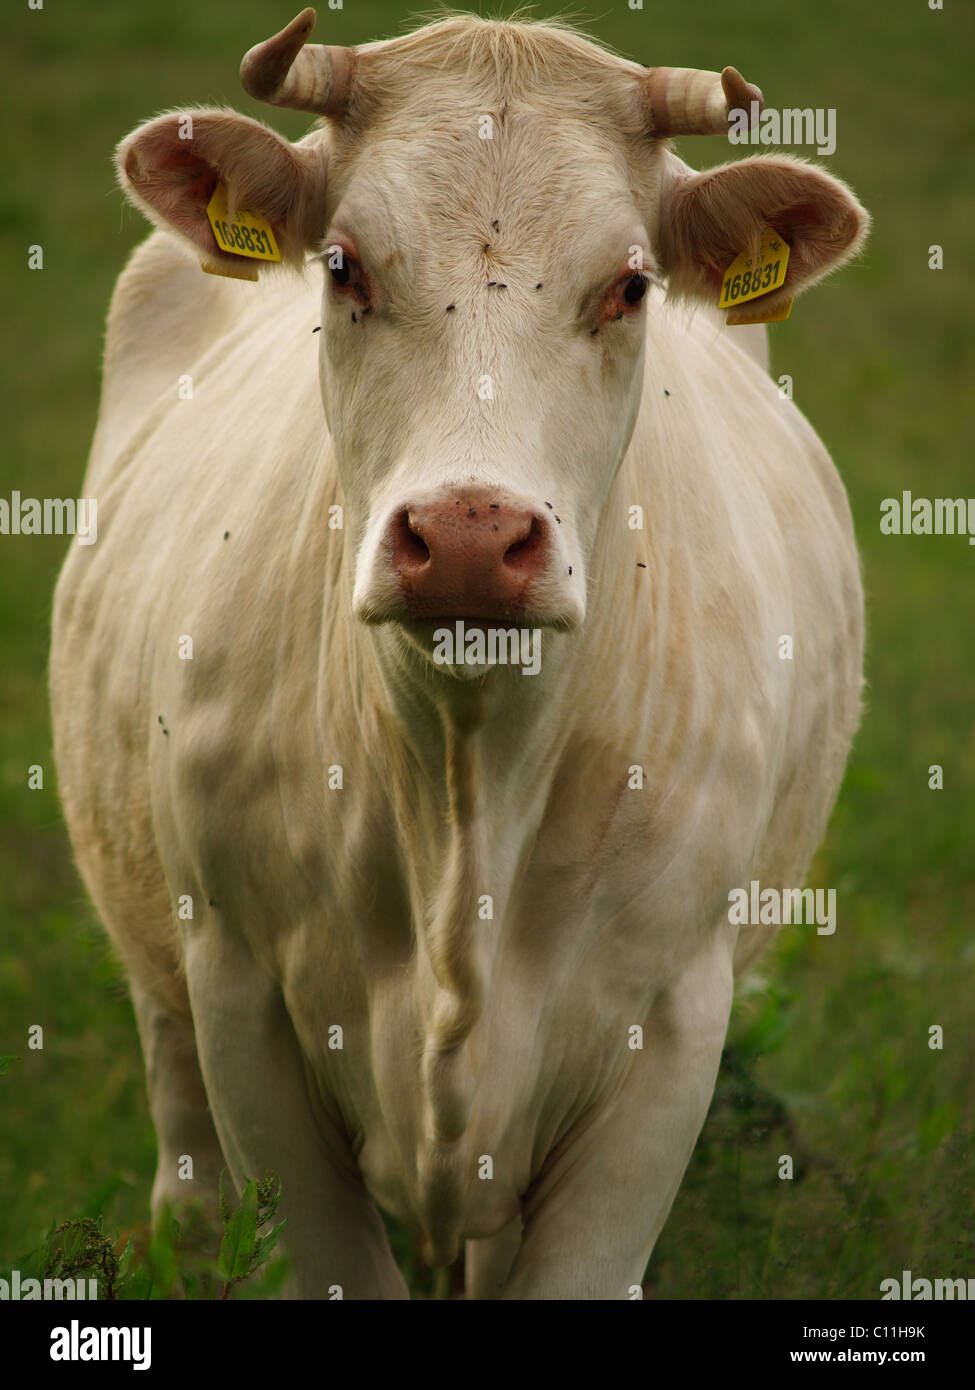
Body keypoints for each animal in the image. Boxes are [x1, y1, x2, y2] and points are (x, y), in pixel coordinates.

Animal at [50, 8, 868, 1299]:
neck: (463, 779)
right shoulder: (241, 1002)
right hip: (165, 997)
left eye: (629, 285)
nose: (474, 536)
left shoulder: (671, 1031)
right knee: (186, 1184)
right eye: (344, 266)